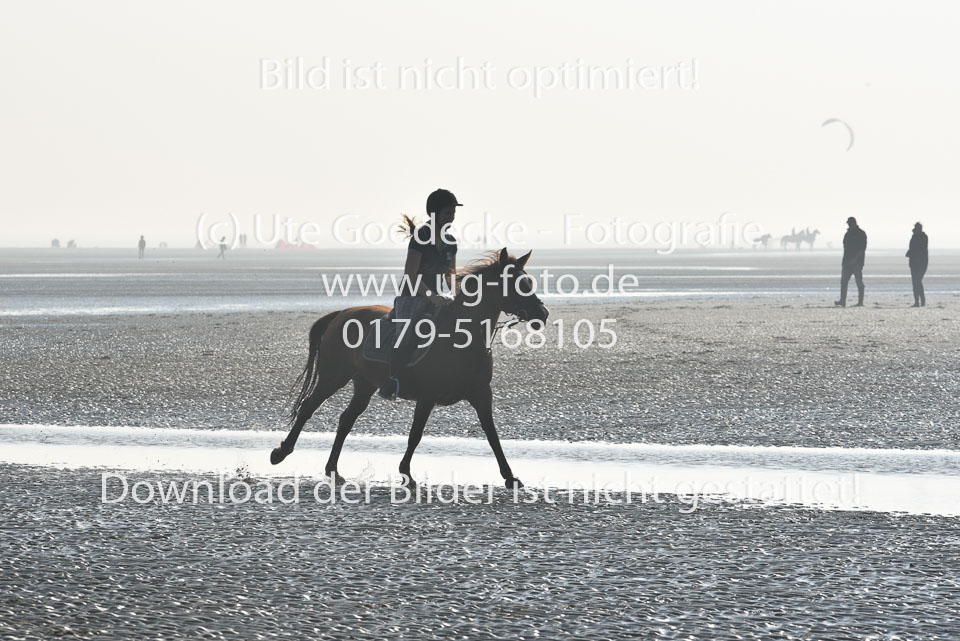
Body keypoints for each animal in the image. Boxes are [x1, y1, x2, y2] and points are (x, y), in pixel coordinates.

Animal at [274, 248, 552, 488]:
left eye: (528, 282)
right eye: (515, 284)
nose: (542, 314)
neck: (462, 336)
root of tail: (342, 313)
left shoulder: (482, 395)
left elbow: (492, 435)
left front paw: (510, 477)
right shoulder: (428, 396)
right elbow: (416, 434)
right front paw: (406, 474)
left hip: (364, 384)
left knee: (345, 420)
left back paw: (332, 469)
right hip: (333, 376)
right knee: (308, 407)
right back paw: (280, 452)